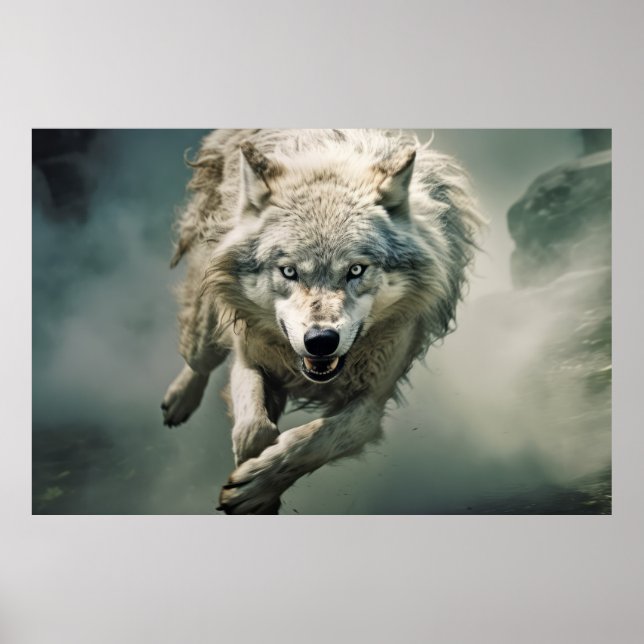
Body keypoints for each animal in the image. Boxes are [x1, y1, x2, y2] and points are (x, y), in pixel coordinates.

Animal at [161, 129, 482, 514]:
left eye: (356, 269)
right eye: (289, 271)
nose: (320, 340)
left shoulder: (371, 404)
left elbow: (309, 441)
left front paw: (256, 487)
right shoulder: (249, 356)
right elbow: (254, 429)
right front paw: (254, 479)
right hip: (210, 316)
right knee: (200, 358)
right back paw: (179, 401)